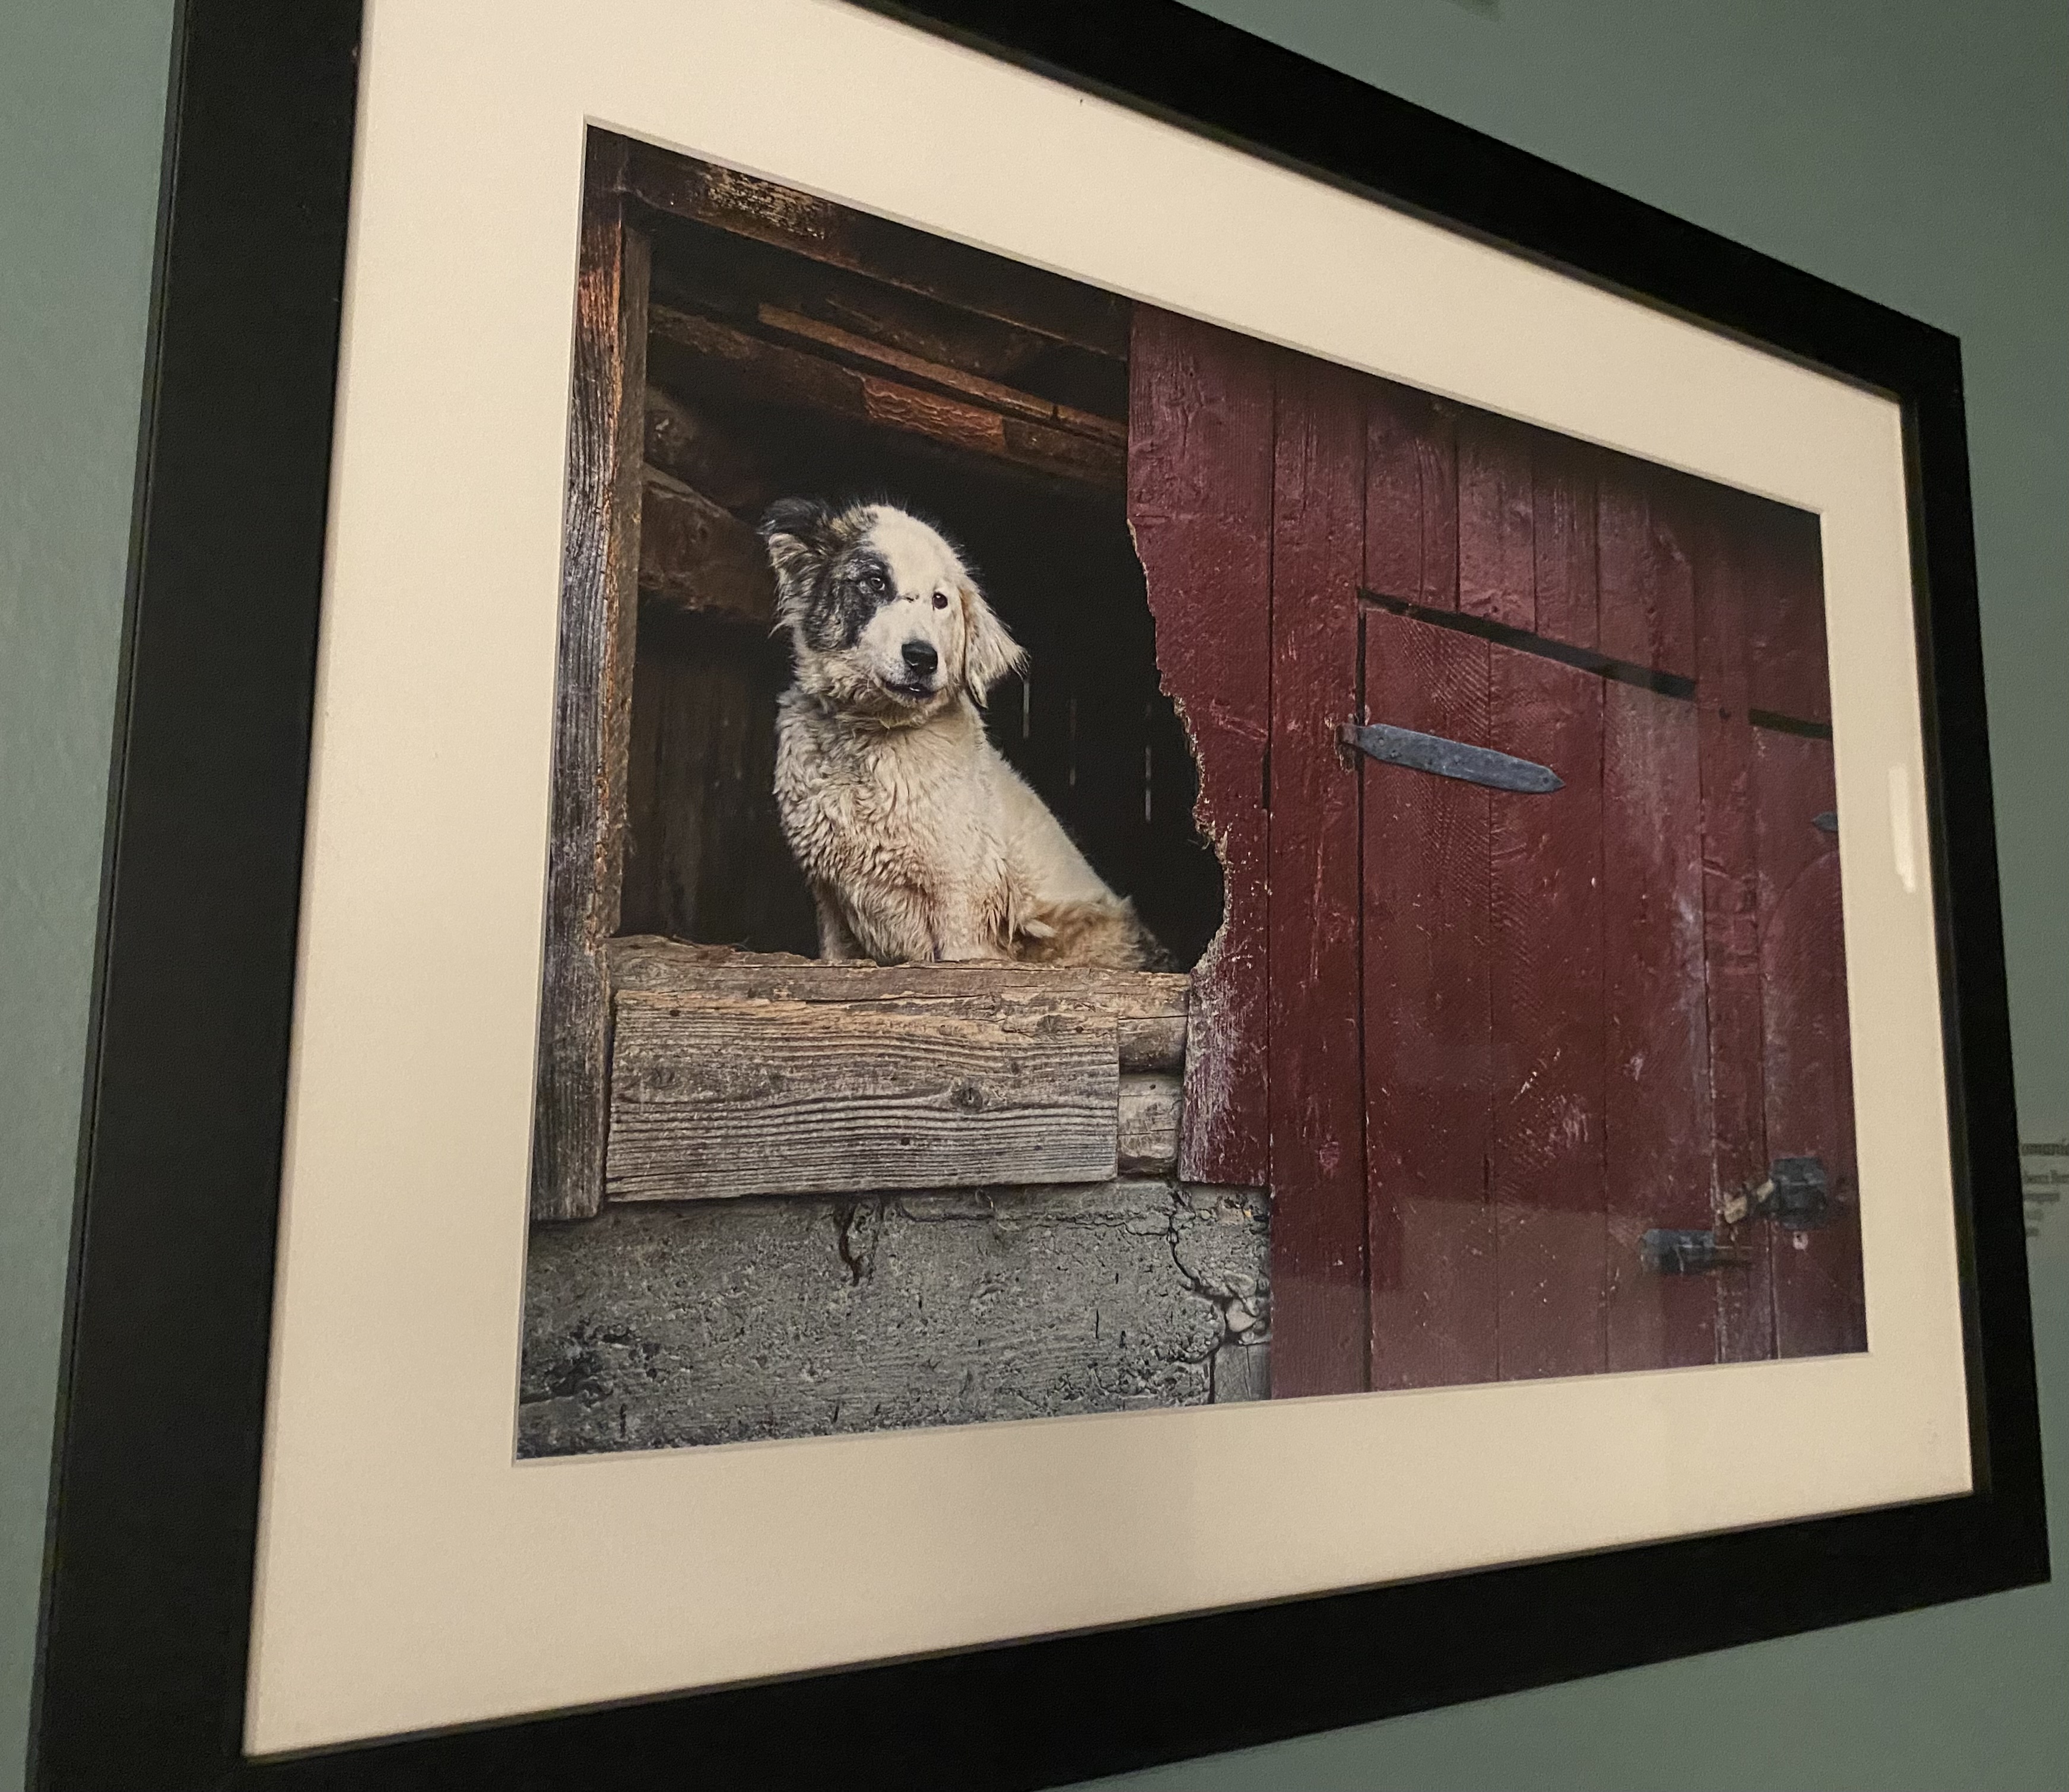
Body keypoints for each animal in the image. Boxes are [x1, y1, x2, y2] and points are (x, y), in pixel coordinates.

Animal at [759, 498, 1161, 970]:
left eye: (940, 601)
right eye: (875, 582)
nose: (922, 658)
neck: (871, 739)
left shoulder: (961, 900)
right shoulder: (831, 901)